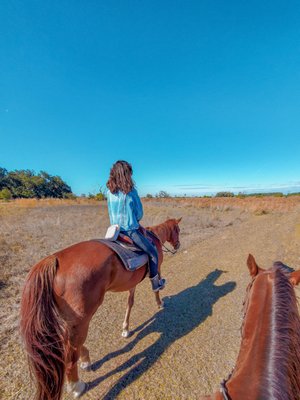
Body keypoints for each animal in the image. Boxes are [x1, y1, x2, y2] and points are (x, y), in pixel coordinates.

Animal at [19, 219, 182, 400]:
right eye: (178, 230)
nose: (177, 245)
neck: (154, 237)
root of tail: (53, 259)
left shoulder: (132, 283)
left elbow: (130, 302)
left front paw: (126, 328)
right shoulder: (157, 267)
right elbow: (155, 288)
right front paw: (160, 303)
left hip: (73, 320)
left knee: (72, 343)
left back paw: (85, 360)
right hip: (82, 318)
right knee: (70, 353)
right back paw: (76, 386)